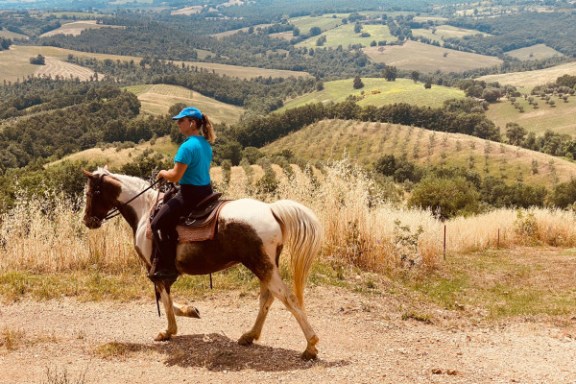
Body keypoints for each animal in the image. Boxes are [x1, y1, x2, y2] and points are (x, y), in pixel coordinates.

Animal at [81, 168, 324, 360]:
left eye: (91, 193)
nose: (87, 221)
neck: (145, 210)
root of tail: (271, 209)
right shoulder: (164, 272)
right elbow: (169, 299)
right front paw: (190, 311)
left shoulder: (155, 269)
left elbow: (165, 300)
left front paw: (169, 330)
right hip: (266, 266)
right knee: (267, 298)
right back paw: (249, 336)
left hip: (261, 265)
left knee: (287, 298)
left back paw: (310, 346)